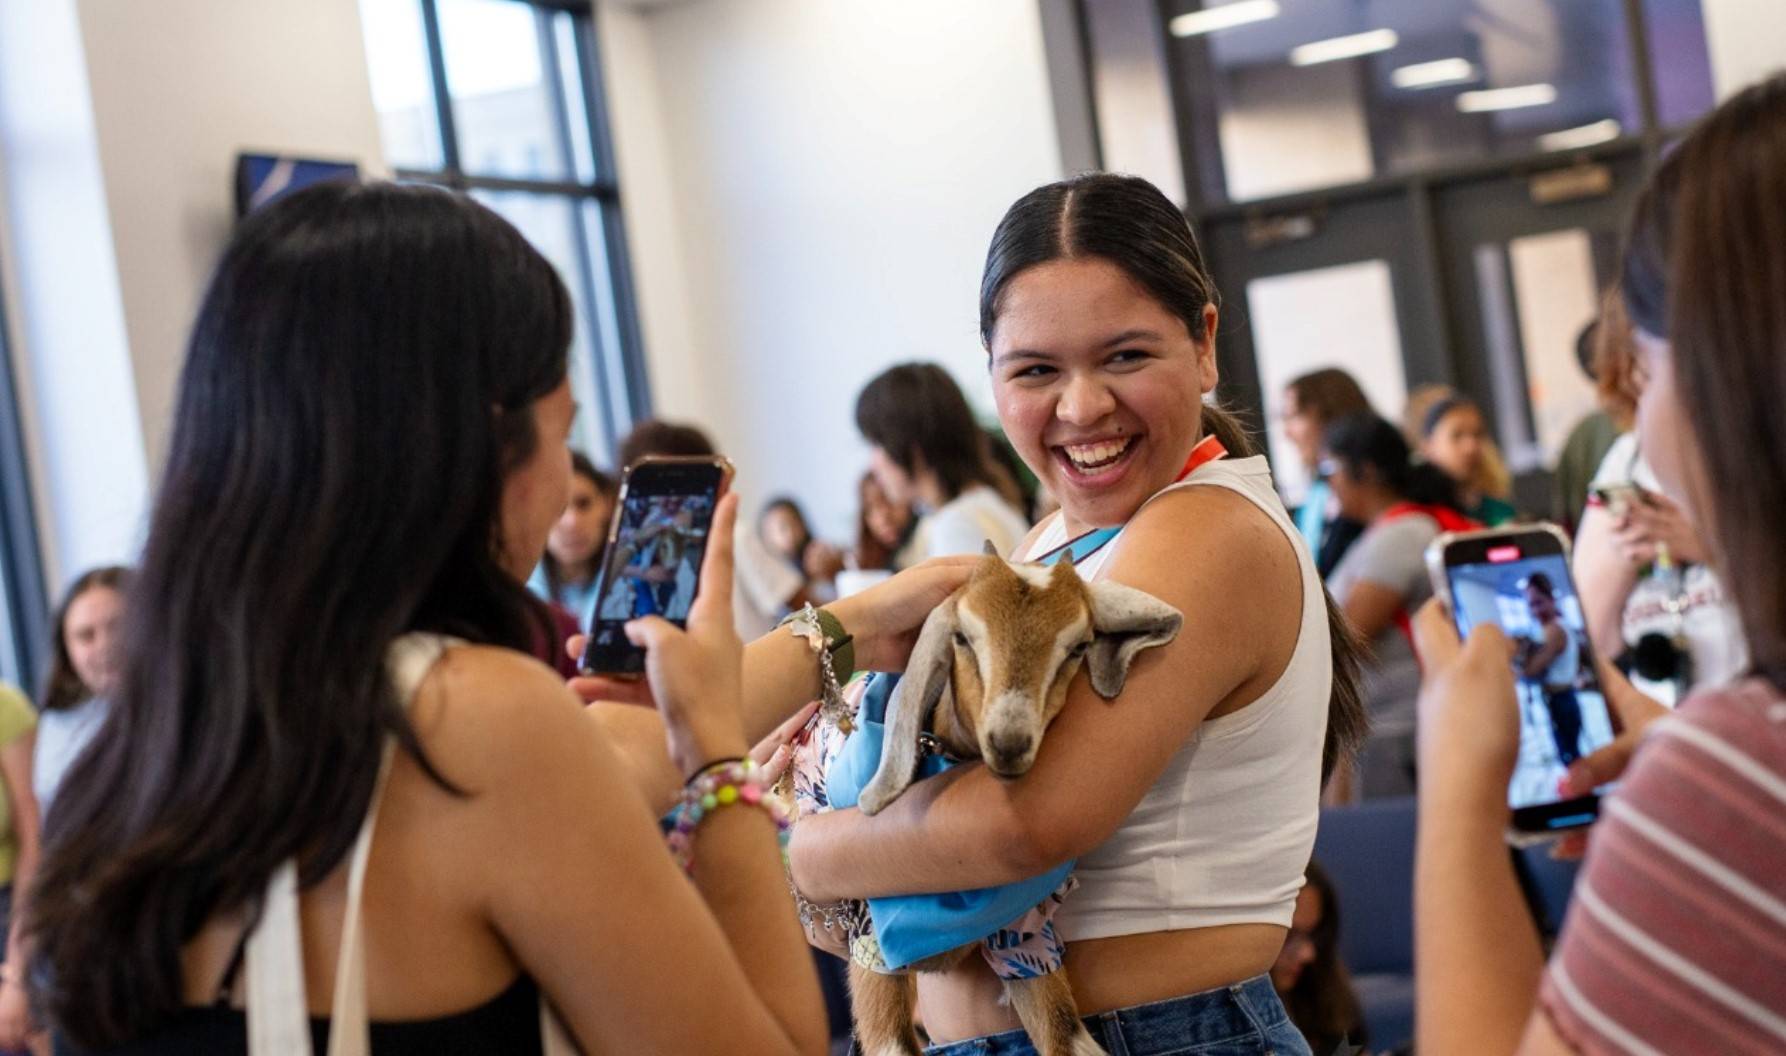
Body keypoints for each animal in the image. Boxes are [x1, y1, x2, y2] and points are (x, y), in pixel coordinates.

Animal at [842, 553, 1178, 1056]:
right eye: (962, 636)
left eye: (1079, 646)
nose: (1009, 742)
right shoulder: (870, 946)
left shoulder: (1025, 939)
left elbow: (1065, 1036)